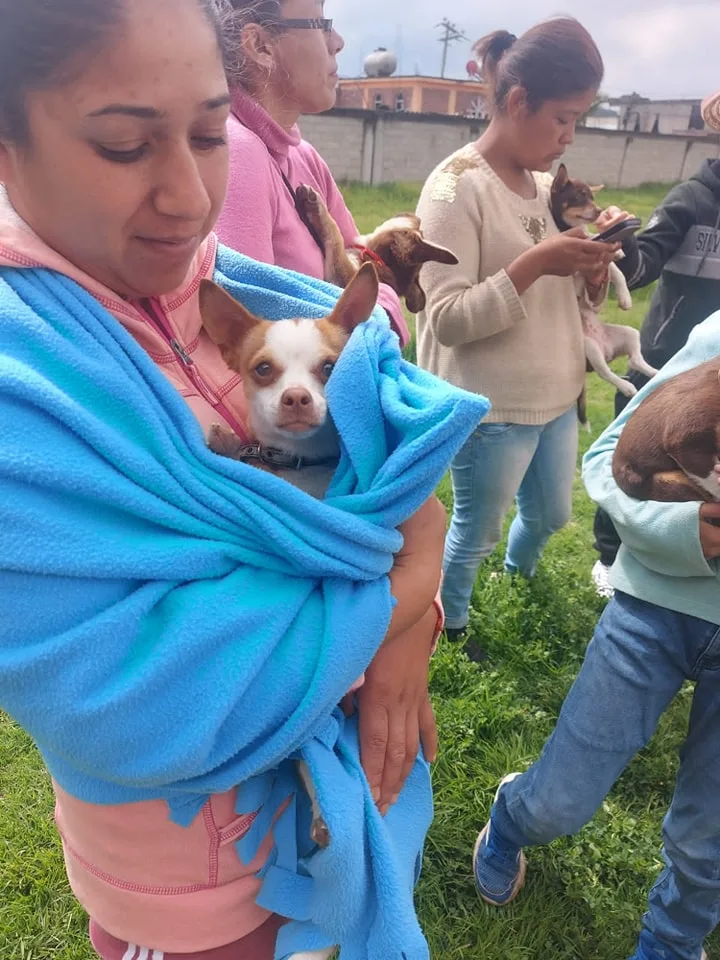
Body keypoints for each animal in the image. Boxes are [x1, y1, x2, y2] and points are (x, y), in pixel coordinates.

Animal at [552, 165, 660, 408]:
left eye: (593, 198)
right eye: (579, 197)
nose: (600, 211)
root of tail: (607, 349)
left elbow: (615, 269)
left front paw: (624, 294)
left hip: (629, 333)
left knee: (636, 360)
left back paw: (655, 372)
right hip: (590, 347)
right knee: (606, 373)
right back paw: (627, 387)